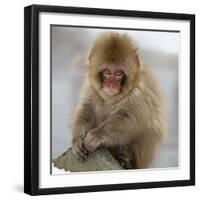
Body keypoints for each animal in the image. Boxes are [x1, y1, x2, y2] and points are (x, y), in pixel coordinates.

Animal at [70, 32, 167, 169]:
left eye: (119, 73)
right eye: (107, 72)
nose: (111, 85)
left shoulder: (139, 92)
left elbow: (128, 118)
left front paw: (96, 135)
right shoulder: (91, 87)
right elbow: (87, 109)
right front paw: (77, 139)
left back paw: (125, 160)